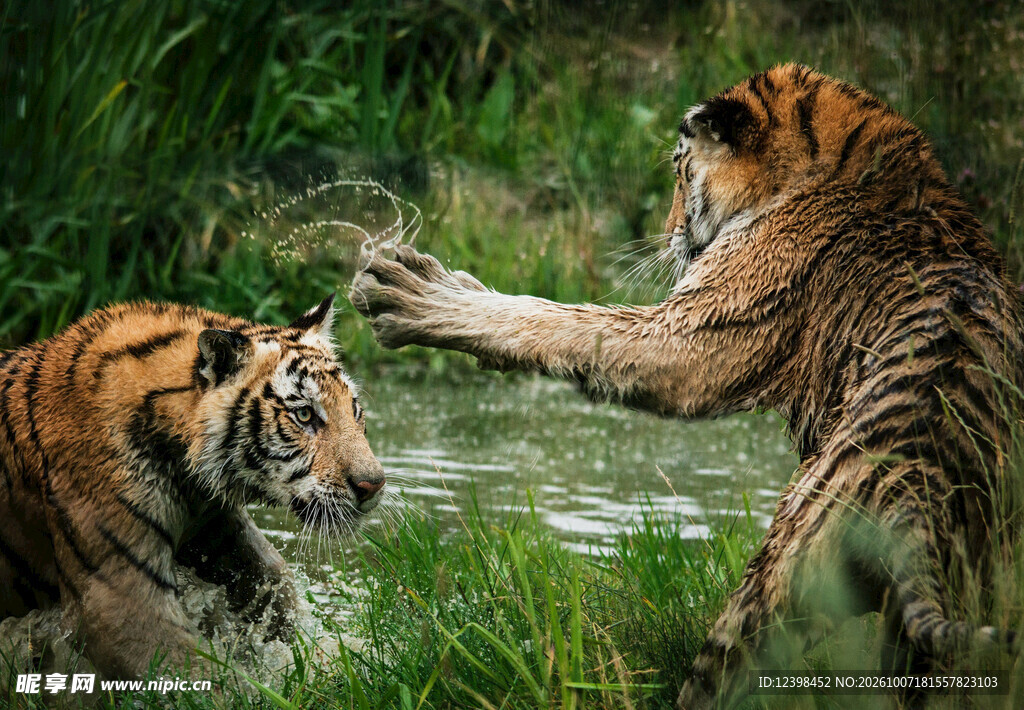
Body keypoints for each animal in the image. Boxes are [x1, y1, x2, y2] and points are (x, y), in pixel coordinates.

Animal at [0, 294, 386, 681]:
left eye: (354, 409)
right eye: (304, 415)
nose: (373, 484)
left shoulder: (216, 526)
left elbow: (276, 584)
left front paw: (334, 661)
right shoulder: (117, 603)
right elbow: (211, 678)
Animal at [349, 63, 1023, 707]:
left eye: (679, 173)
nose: (670, 232)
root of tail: (919, 480)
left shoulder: (692, 335)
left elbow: (560, 320)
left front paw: (412, 294)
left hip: (777, 575)